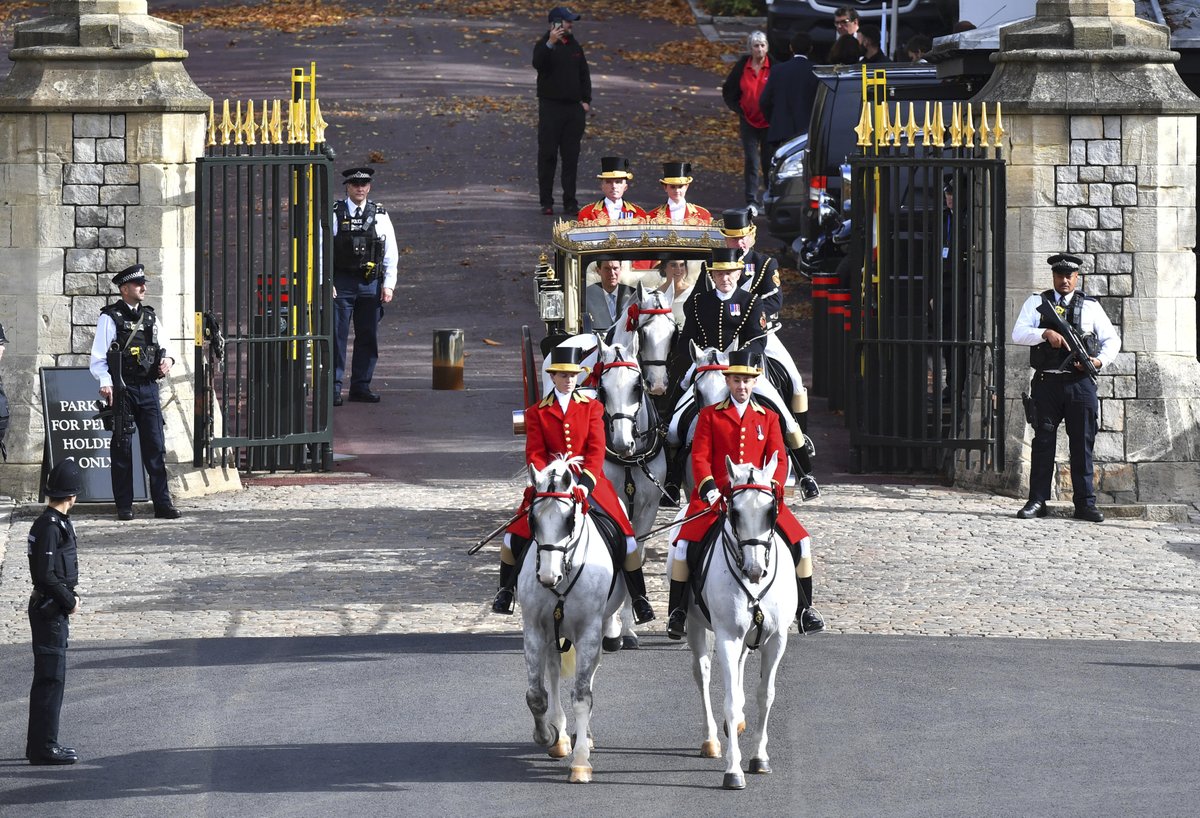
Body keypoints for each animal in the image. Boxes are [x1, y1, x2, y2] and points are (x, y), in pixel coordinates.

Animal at [518, 455, 624, 782]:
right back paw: (562, 735)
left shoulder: (589, 632)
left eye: (569, 520)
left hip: (595, 631)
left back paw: (582, 736)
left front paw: (580, 761)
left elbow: (582, 695)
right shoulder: (534, 630)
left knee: (587, 678)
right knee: (553, 672)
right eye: (533, 518)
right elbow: (536, 694)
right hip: (554, 634)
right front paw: (547, 735)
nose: (547, 577)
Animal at [672, 453, 801, 791]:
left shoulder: (776, 639)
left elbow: (765, 695)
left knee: (741, 670)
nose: (754, 571)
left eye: (771, 511)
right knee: (703, 674)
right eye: (735, 511)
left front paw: (759, 757)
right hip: (696, 626)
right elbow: (728, 698)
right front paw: (734, 770)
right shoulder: (727, 635)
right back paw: (712, 740)